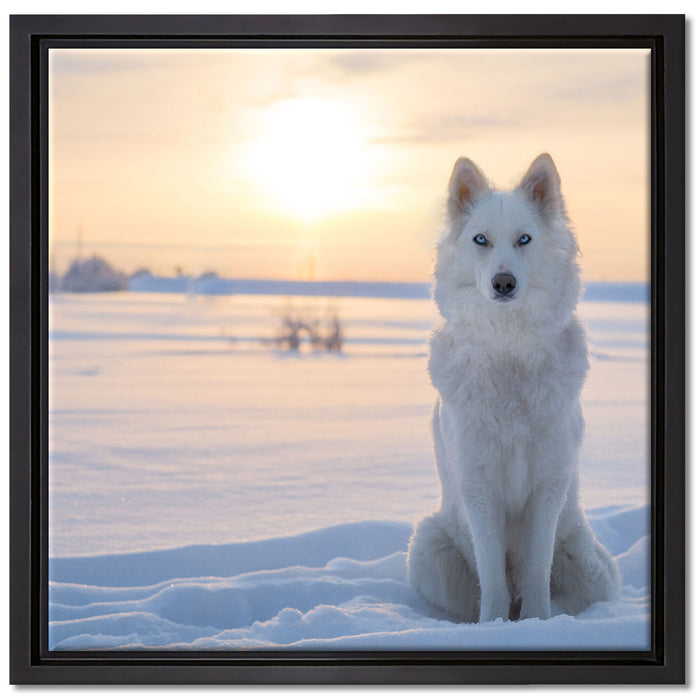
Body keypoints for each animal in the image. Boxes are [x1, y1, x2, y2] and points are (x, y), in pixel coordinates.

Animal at [407, 154, 620, 623]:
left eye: (524, 239)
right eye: (480, 240)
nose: (503, 283)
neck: (510, 352)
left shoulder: (548, 486)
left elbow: (538, 570)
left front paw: (537, 623)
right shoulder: (479, 487)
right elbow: (492, 577)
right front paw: (495, 626)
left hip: (591, 567)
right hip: (428, 546)